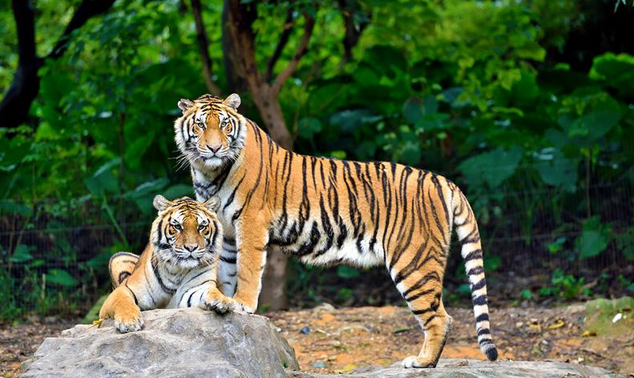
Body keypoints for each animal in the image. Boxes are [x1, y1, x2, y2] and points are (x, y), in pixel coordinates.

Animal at [172, 93, 494, 368]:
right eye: (200, 125)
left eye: (224, 124)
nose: (215, 148)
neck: (209, 172)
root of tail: (442, 180)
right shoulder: (226, 230)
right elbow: (226, 271)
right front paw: (223, 303)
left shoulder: (251, 222)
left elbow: (248, 269)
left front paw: (242, 305)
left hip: (413, 260)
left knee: (440, 317)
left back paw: (422, 362)